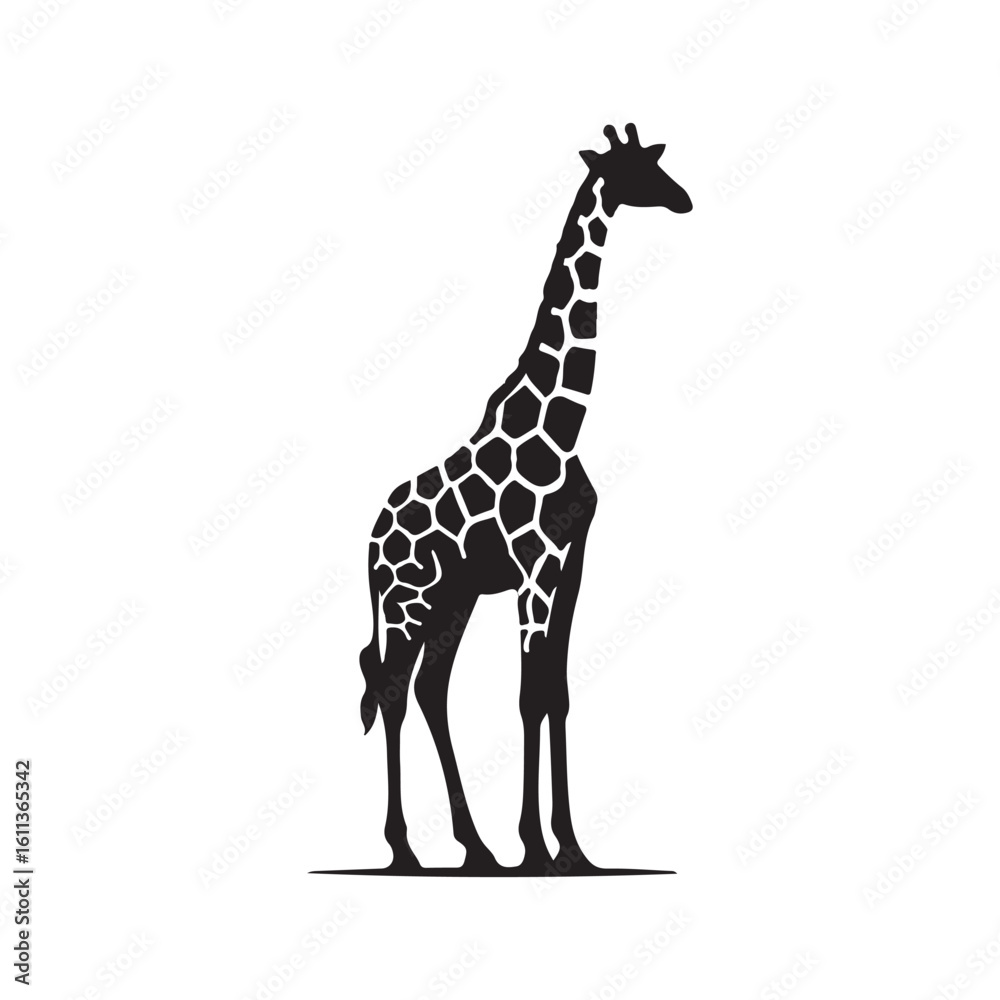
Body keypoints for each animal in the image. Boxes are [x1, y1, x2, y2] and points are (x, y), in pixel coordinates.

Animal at [357, 123, 692, 874]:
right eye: (636, 172)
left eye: (656, 164)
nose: (684, 200)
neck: (562, 427)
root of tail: (370, 537)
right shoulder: (533, 567)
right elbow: (527, 694)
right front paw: (536, 844)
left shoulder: (569, 563)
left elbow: (555, 693)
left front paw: (571, 847)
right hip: (406, 600)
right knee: (390, 690)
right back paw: (405, 850)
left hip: (452, 597)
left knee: (429, 689)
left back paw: (473, 847)